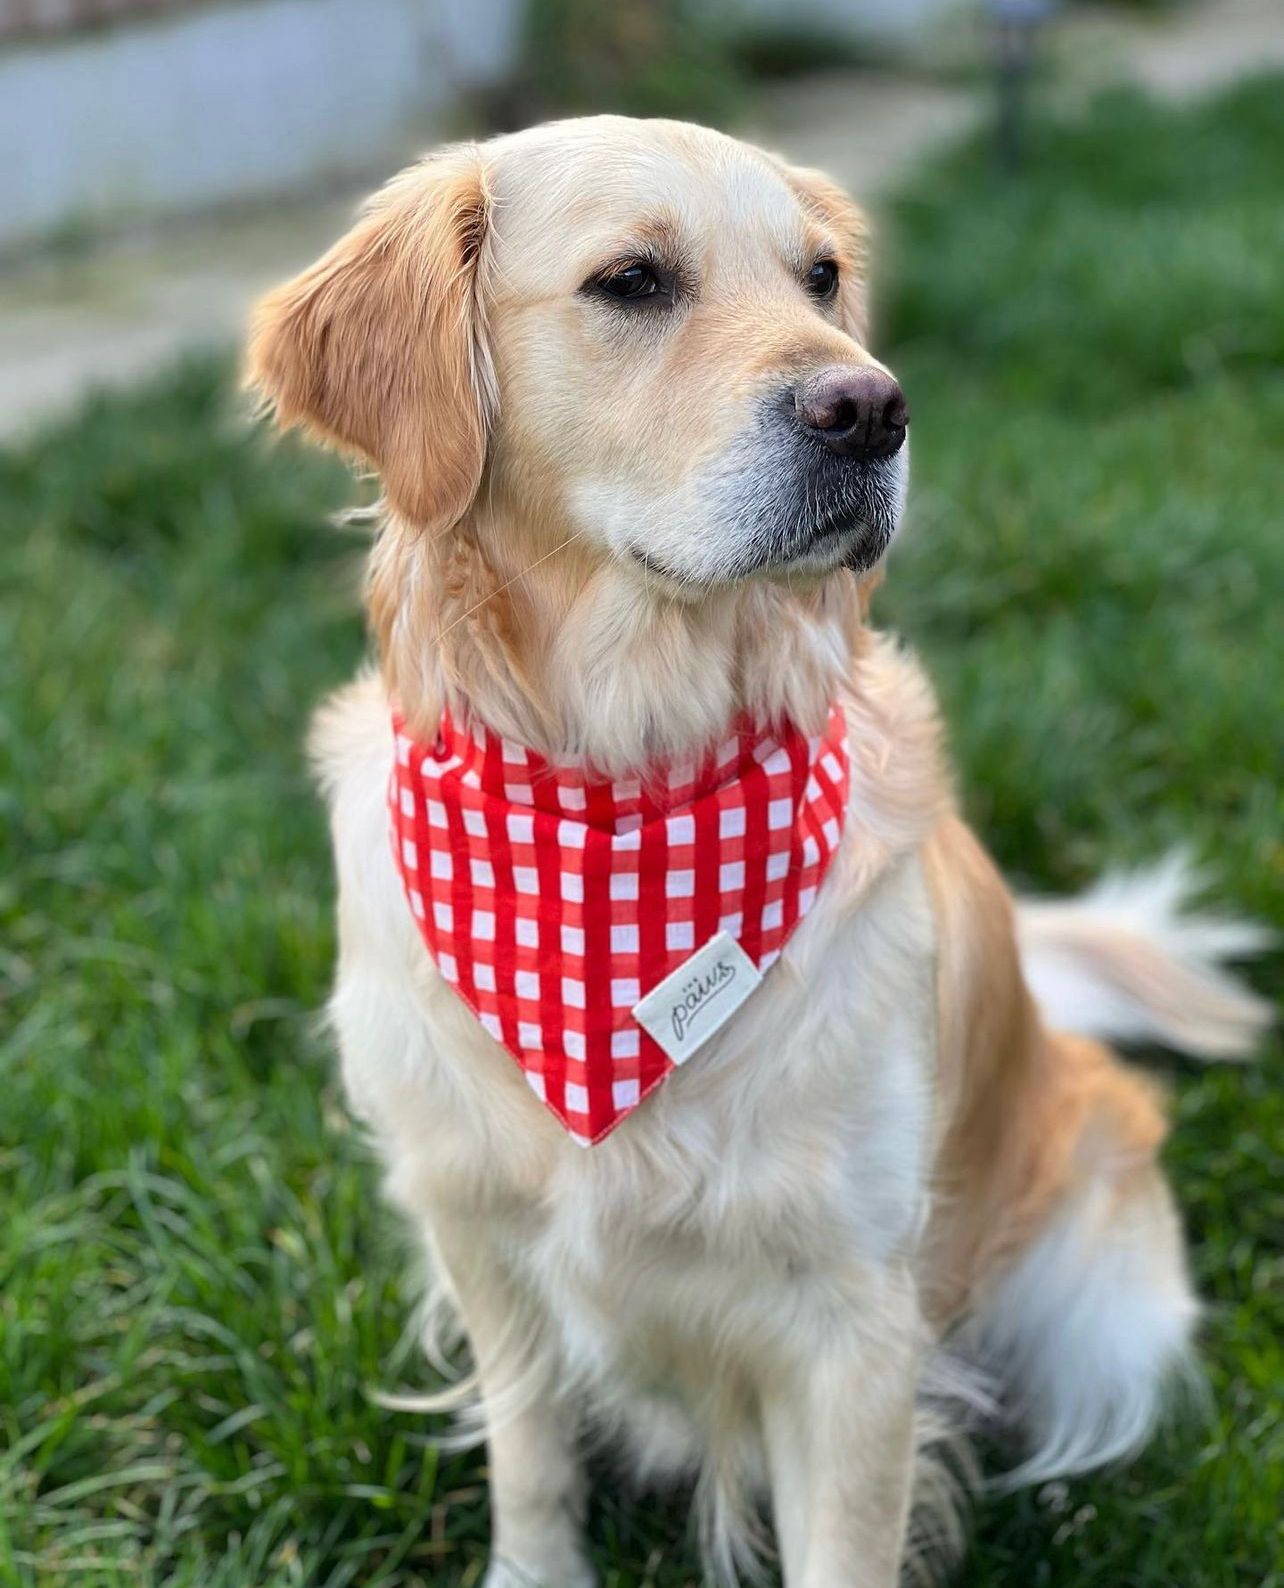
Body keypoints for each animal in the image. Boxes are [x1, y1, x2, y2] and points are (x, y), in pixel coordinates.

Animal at [246, 117, 1269, 1581]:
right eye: (632, 280)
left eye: (823, 278)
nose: (873, 410)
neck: (630, 790)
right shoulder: (479, 1237)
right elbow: (533, 1467)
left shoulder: (852, 1319)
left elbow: (847, 1540)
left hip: (1096, 1281)